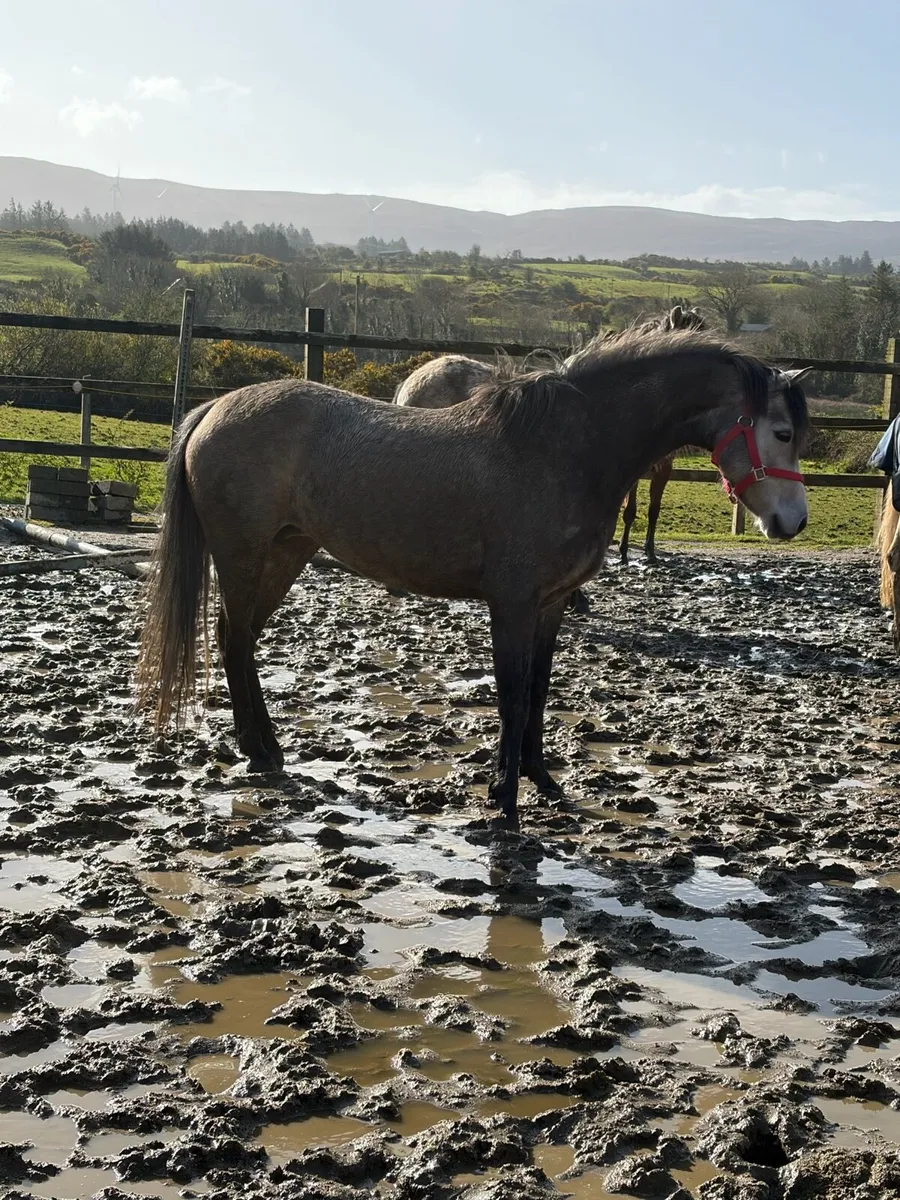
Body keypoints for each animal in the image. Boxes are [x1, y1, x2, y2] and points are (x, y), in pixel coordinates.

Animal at [136, 330, 810, 821]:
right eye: (780, 431)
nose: (793, 521)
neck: (564, 453)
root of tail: (214, 408)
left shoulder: (551, 604)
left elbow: (538, 690)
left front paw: (541, 780)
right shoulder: (511, 602)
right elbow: (511, 693)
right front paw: (504, 800)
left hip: (285, 553)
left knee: (242, 640)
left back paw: (265, 750)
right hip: (245, 556)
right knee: (233, 640)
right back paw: (261, 751)